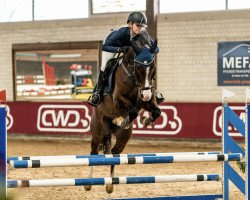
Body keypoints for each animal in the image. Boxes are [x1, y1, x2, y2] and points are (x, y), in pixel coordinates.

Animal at [85, 32, 161, 194]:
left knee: (114, 153)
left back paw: (110, 185)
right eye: (138, 66)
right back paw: (88, 184)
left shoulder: (147, 100)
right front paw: (123, 120)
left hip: (122, 137)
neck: (133, 77)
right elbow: (133, 110)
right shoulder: (118, 98)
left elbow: (156, 111)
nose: (146, 94)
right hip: (98, 129)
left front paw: (146, 120)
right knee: (93, 152)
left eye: (153, 67)